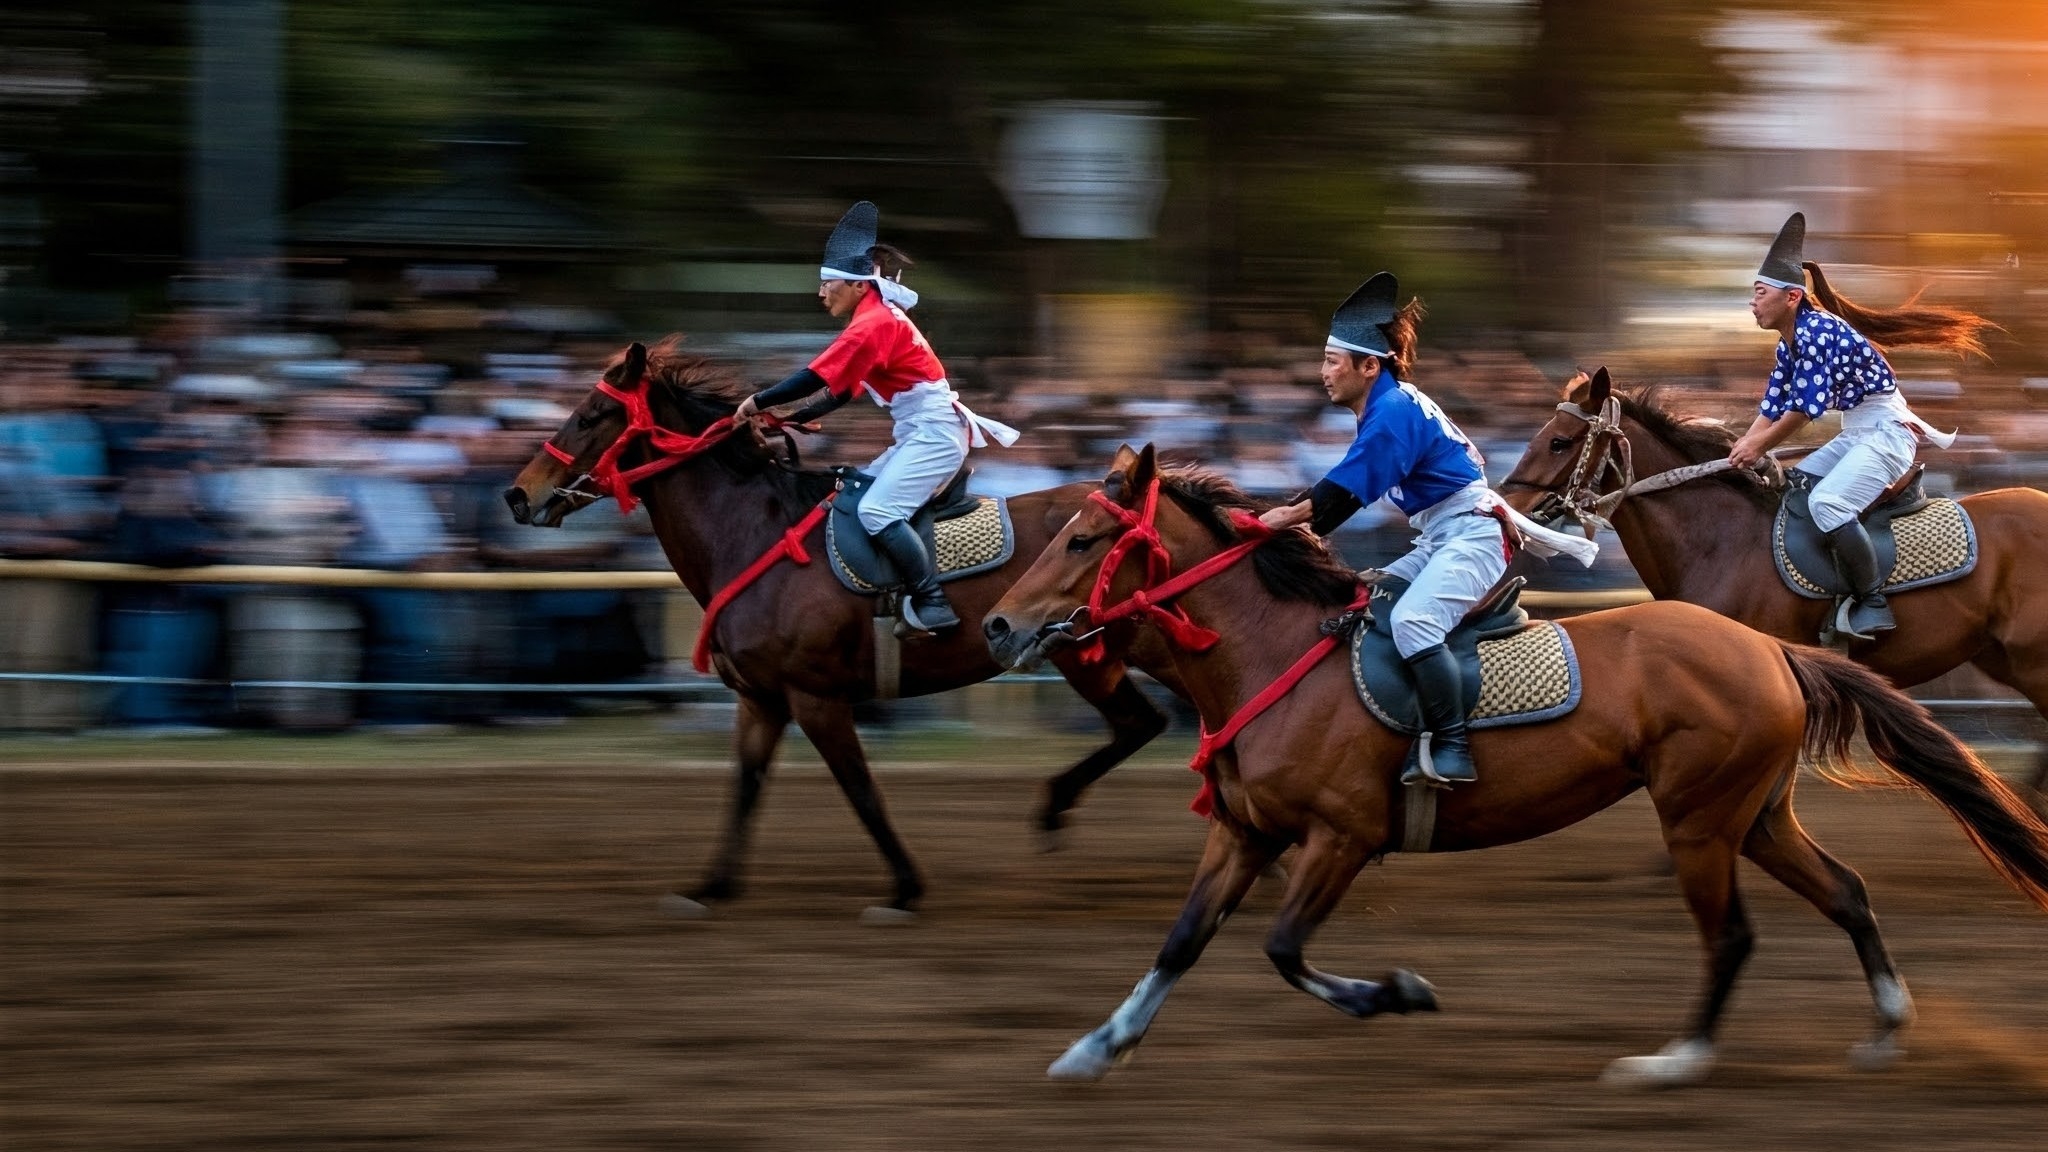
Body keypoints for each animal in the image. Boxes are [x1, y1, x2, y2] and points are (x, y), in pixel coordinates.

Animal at [505, 339, 1180, 918]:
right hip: (1094, 652)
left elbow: (861, 791)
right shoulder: (761, 699)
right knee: (1142, 724)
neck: (755, 535)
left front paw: (904, 889)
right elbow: (744, 787)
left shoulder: (816, 697)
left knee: (1151, 720)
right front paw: (710, 885)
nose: (518, 495)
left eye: (591, 415)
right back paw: (1057, 806)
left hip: (1099, 650)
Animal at [981, 444, 2048, 1084]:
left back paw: (1677, 1060)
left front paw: (1398, 992)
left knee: (1733, 934)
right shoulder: (1247, 833)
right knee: (1846, 893)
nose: (997, 623)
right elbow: (1180, 943)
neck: (1271, 652)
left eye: (1082, 538)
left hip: (1701, 820)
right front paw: (1097, 1046)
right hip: (1755, 814)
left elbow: (1283, 949)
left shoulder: (1341, 836)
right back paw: (1886, 1022)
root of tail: (1770, 651)